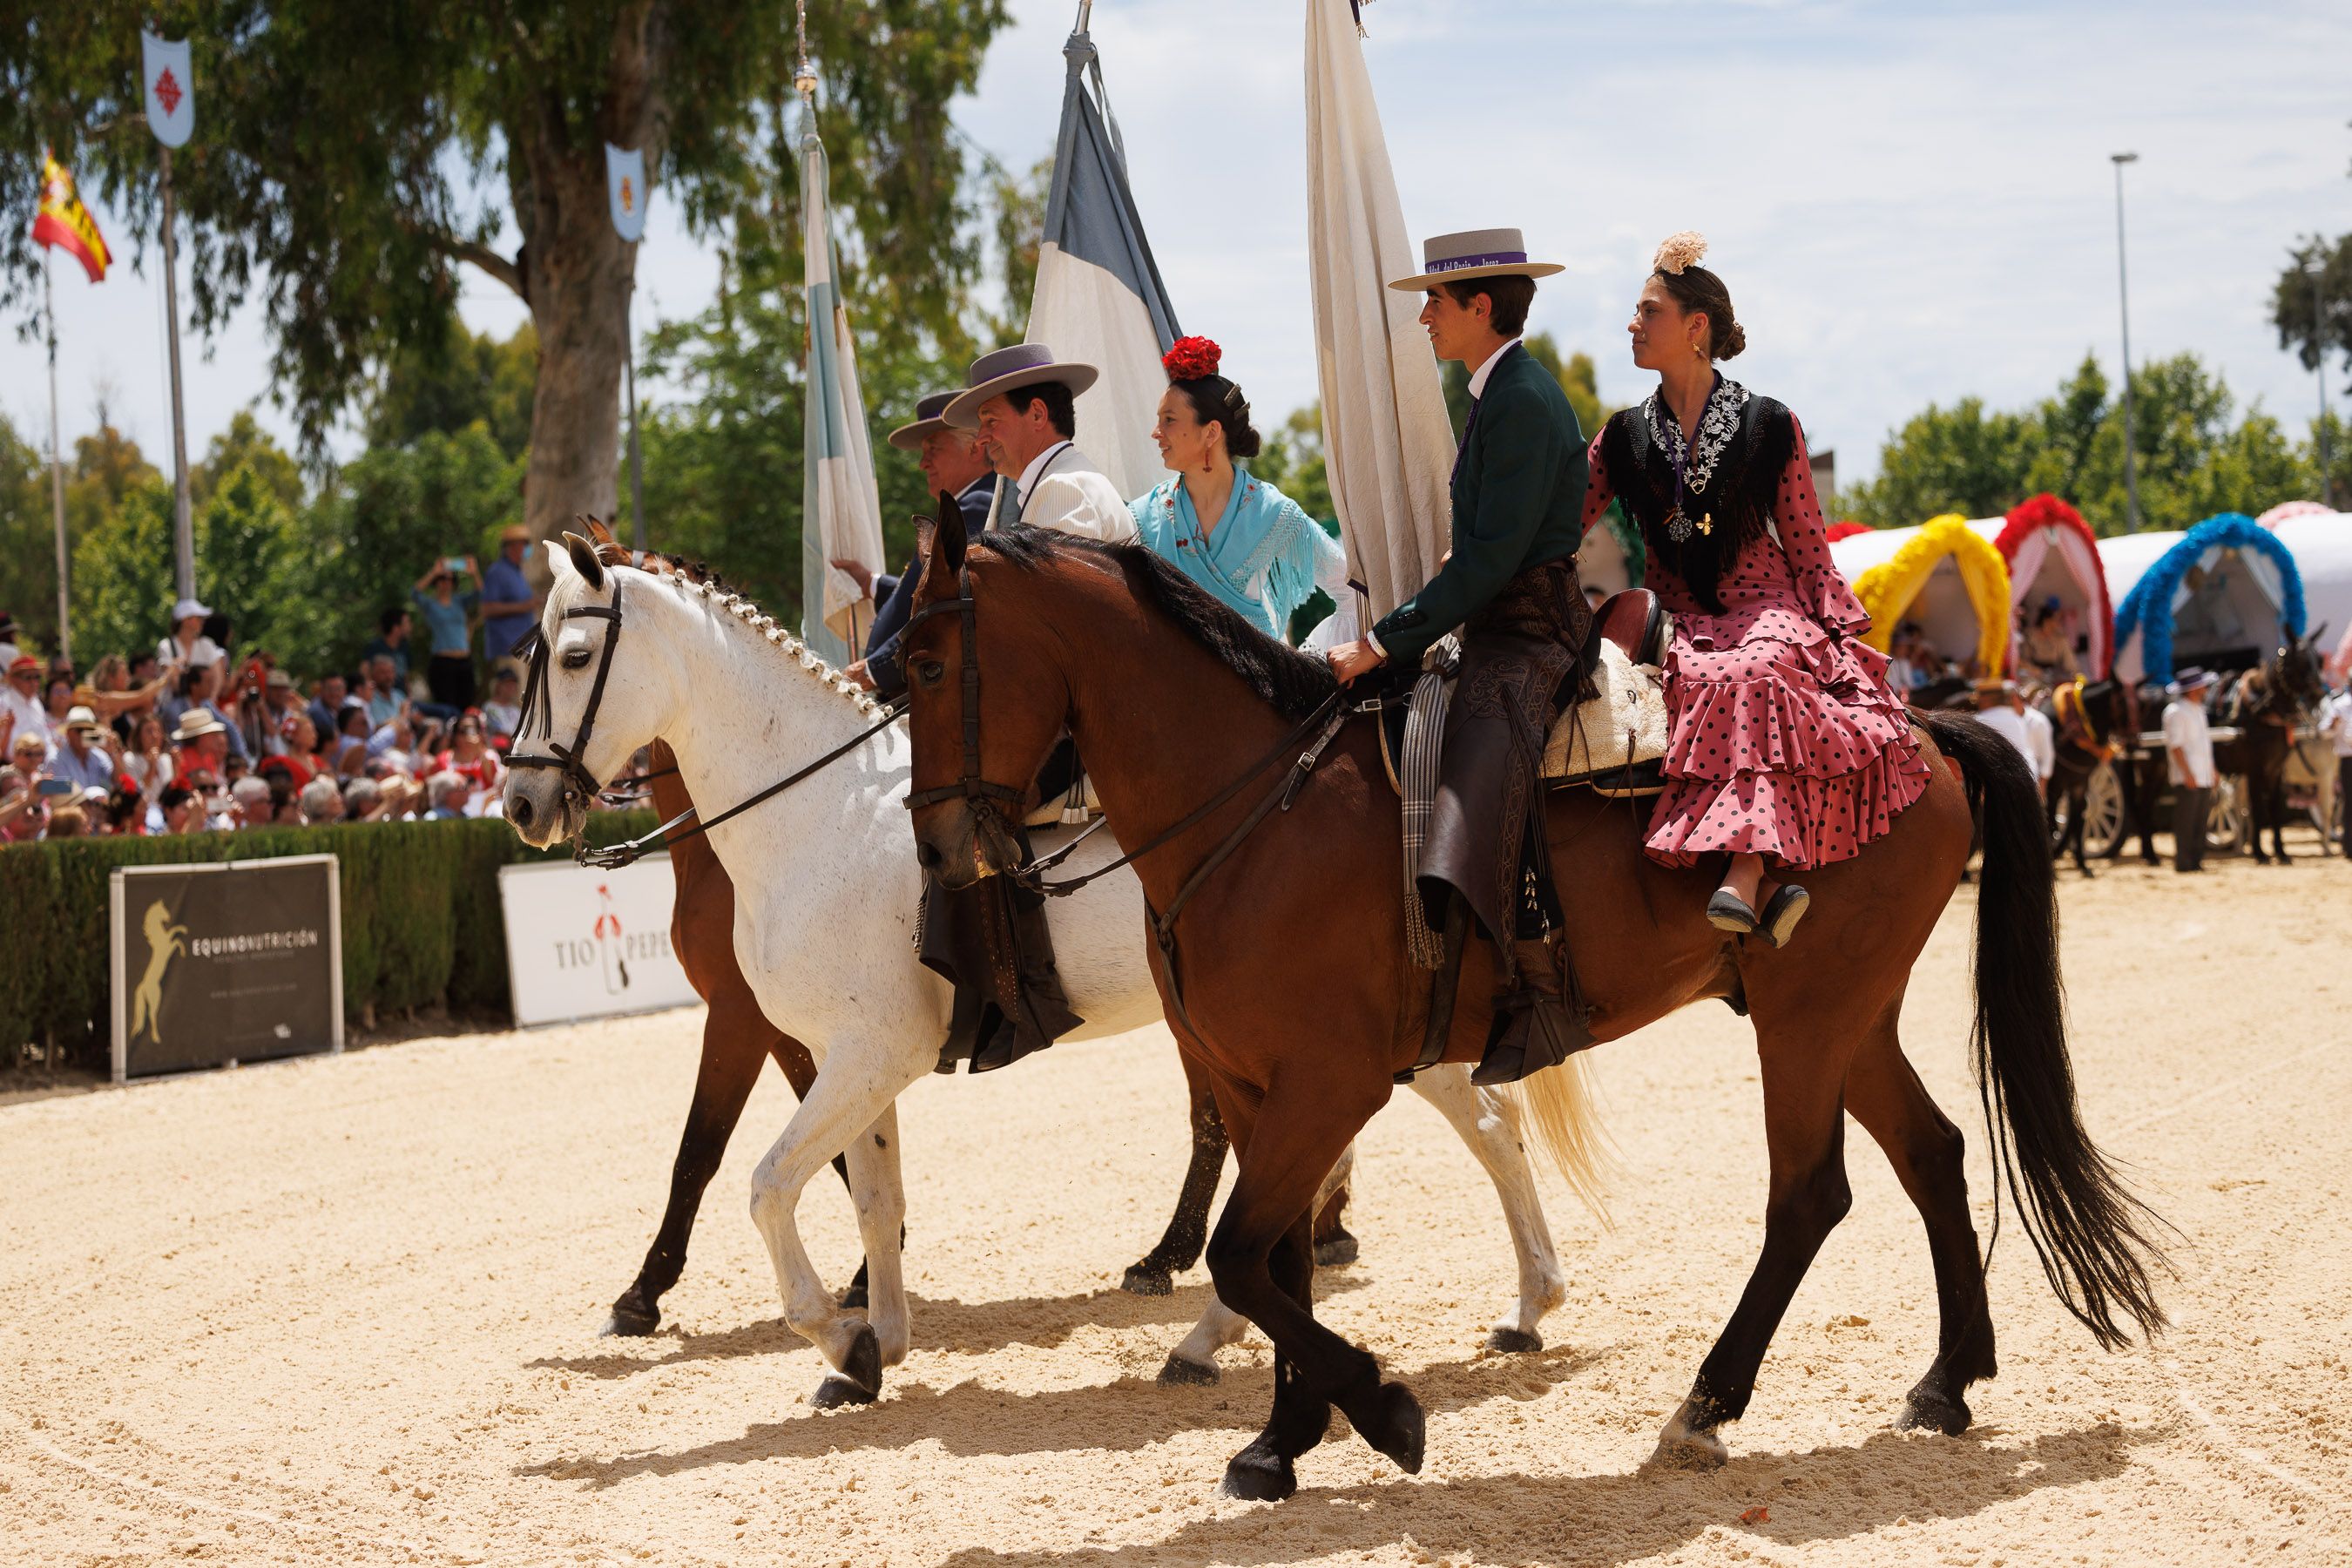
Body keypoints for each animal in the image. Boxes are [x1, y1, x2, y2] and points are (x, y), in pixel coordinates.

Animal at [502, 535, 1604, 1406]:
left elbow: (757, 1180)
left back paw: (1516, 1302)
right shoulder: (854, 1057)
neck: (819, 815)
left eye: (573, 655)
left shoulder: (849, 1049)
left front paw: (826, 1330)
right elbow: (872, 1199)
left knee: (1485, 1127)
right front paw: (876, 1344)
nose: (519, 800)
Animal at [898, 514, 2169, 1499]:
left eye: (924, 665)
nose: (938, 850)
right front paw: (1281, 1441)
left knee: (1810, 1195)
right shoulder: (1262, 1092)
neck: (1260, 810)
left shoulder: (1329, 1087)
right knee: (1936, 1156)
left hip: (1811, 1020)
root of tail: (1923, 734)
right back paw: (1948, 1382)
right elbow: (1277, 1263)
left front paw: (1381, 1414)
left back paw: (1708, 1404)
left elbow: (1246, 1257)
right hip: (1848, 1016)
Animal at [2214, 629, 2331, 863]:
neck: (2262, 710)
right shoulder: (2254, 768)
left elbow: (2274, 806)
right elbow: (2258, 807)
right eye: (2300, 660)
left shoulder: (2276, 767)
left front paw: (2280, 851)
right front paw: (2260, 853)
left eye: (2319, 660)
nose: (2318, 695)